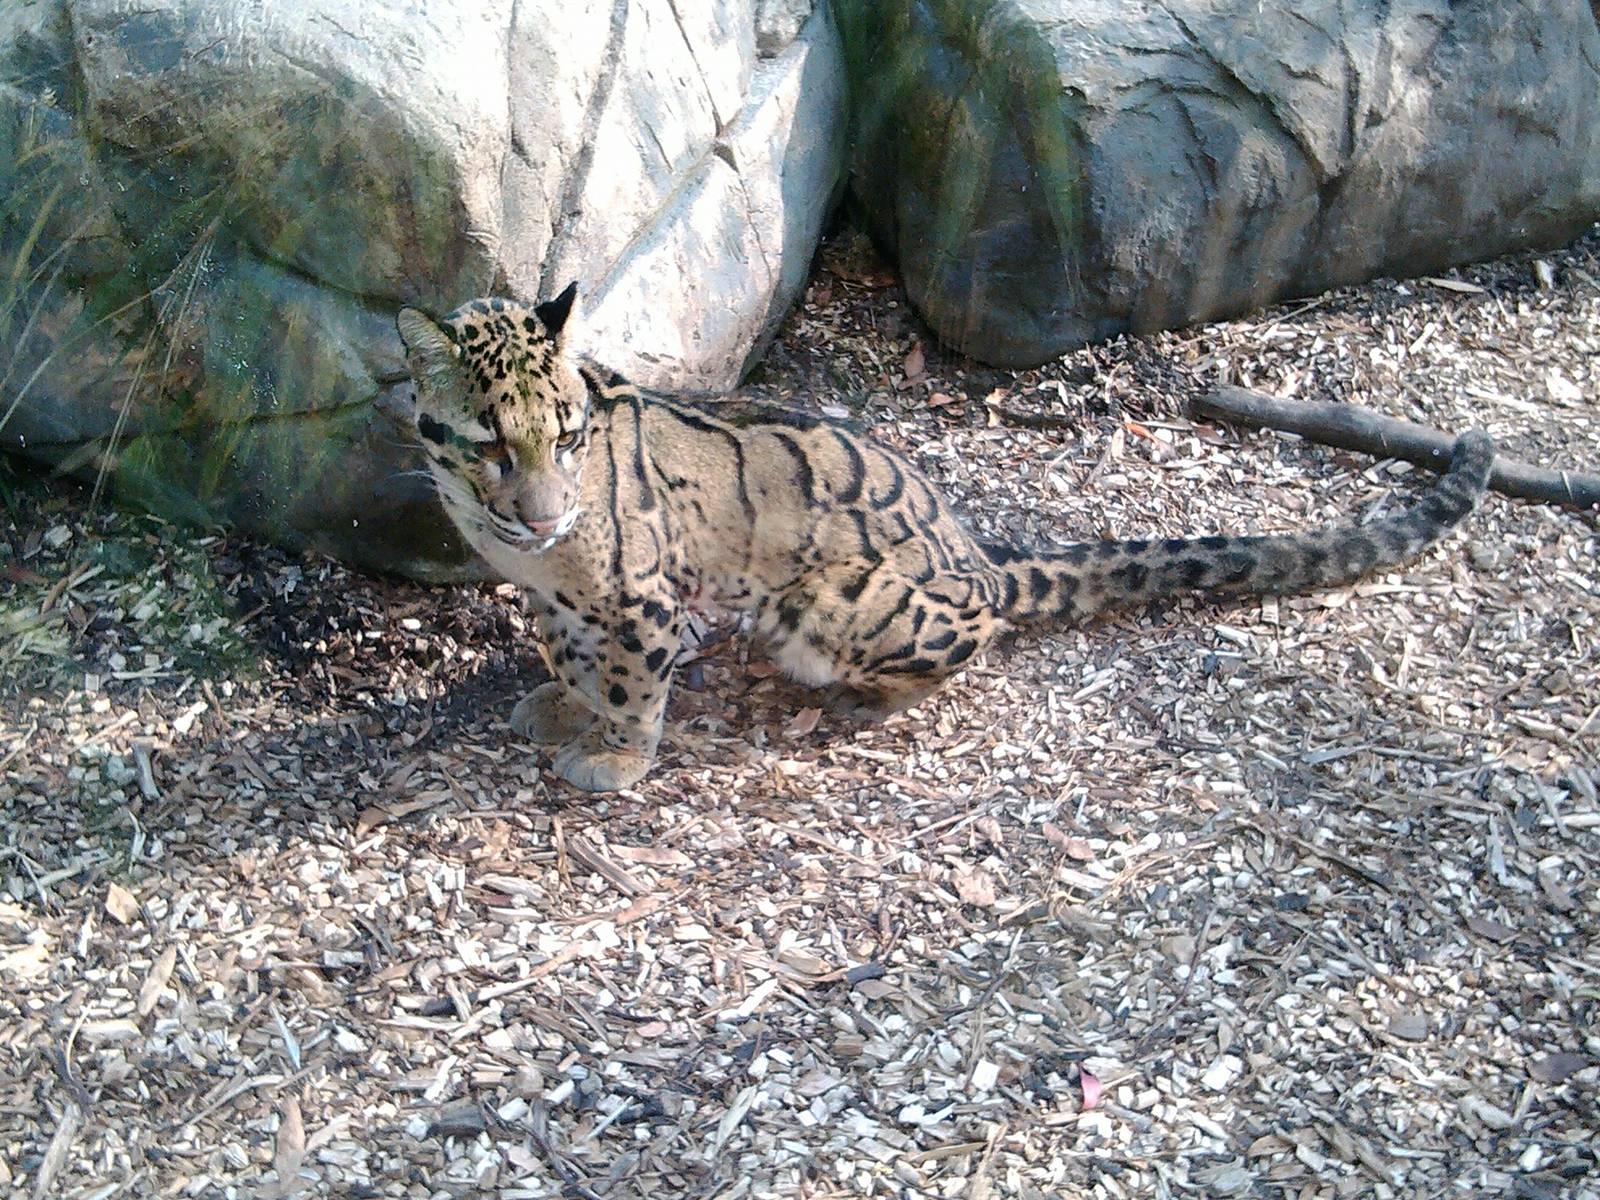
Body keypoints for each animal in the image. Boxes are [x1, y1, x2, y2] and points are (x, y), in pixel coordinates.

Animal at [396, 284, 1494, 793]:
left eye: (566, 437)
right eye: (491, 443)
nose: (544, 513)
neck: (519, 549)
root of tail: (977, 560)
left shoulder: (641, 597)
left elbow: (628, 681)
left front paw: (614, 752)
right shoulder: (550, 593)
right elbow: (566, 651)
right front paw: (560, 702)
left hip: (838, 599)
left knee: (967, 644)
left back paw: (863, 700)